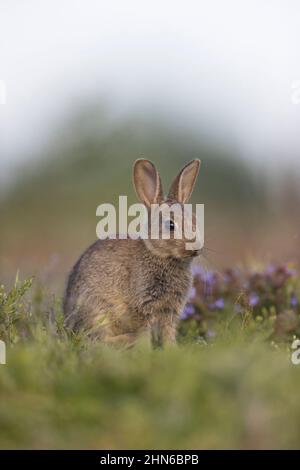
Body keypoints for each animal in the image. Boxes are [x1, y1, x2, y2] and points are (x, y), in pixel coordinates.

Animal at [64, 160, 203, 346]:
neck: (159, 255)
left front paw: (172, 349)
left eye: (195, 220)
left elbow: (168, 332)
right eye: (170, 225)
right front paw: (145, 347)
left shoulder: (170, 310)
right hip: (97, 311)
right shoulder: (142, 305)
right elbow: (144, 331)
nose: (196, 247)